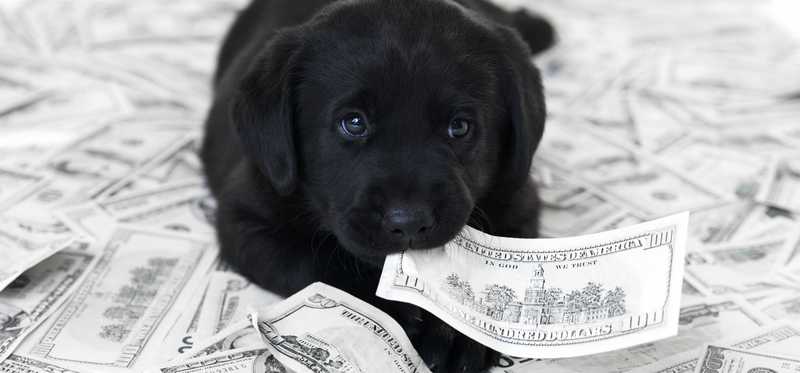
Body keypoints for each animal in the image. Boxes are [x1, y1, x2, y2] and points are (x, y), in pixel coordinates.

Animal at [202, 1, 552, 370]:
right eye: (353, 123)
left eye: (459, 127)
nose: (409, 222)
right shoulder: (246, 219)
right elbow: (320, 264)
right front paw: (394, 306)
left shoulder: (519, 205)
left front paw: (455, 333)